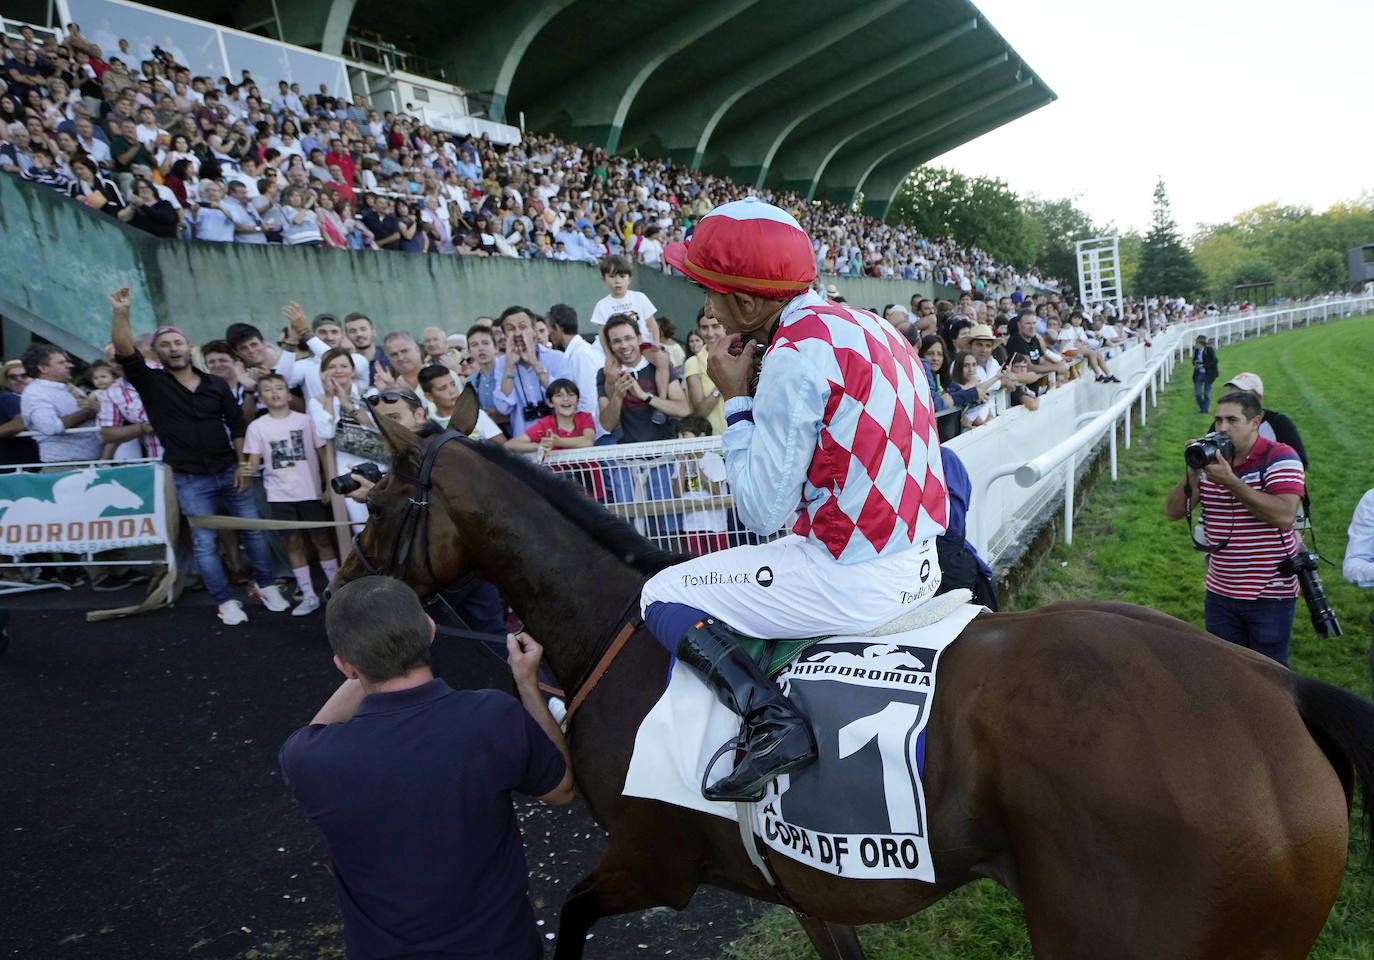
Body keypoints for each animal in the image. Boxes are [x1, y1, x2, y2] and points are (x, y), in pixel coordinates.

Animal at [329, 412, 1374, 960]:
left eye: (374, 504)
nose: (342, 591)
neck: (614, 630)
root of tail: (1281, 693)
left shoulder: (650, 861)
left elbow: (575, 921)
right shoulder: (809, 884)